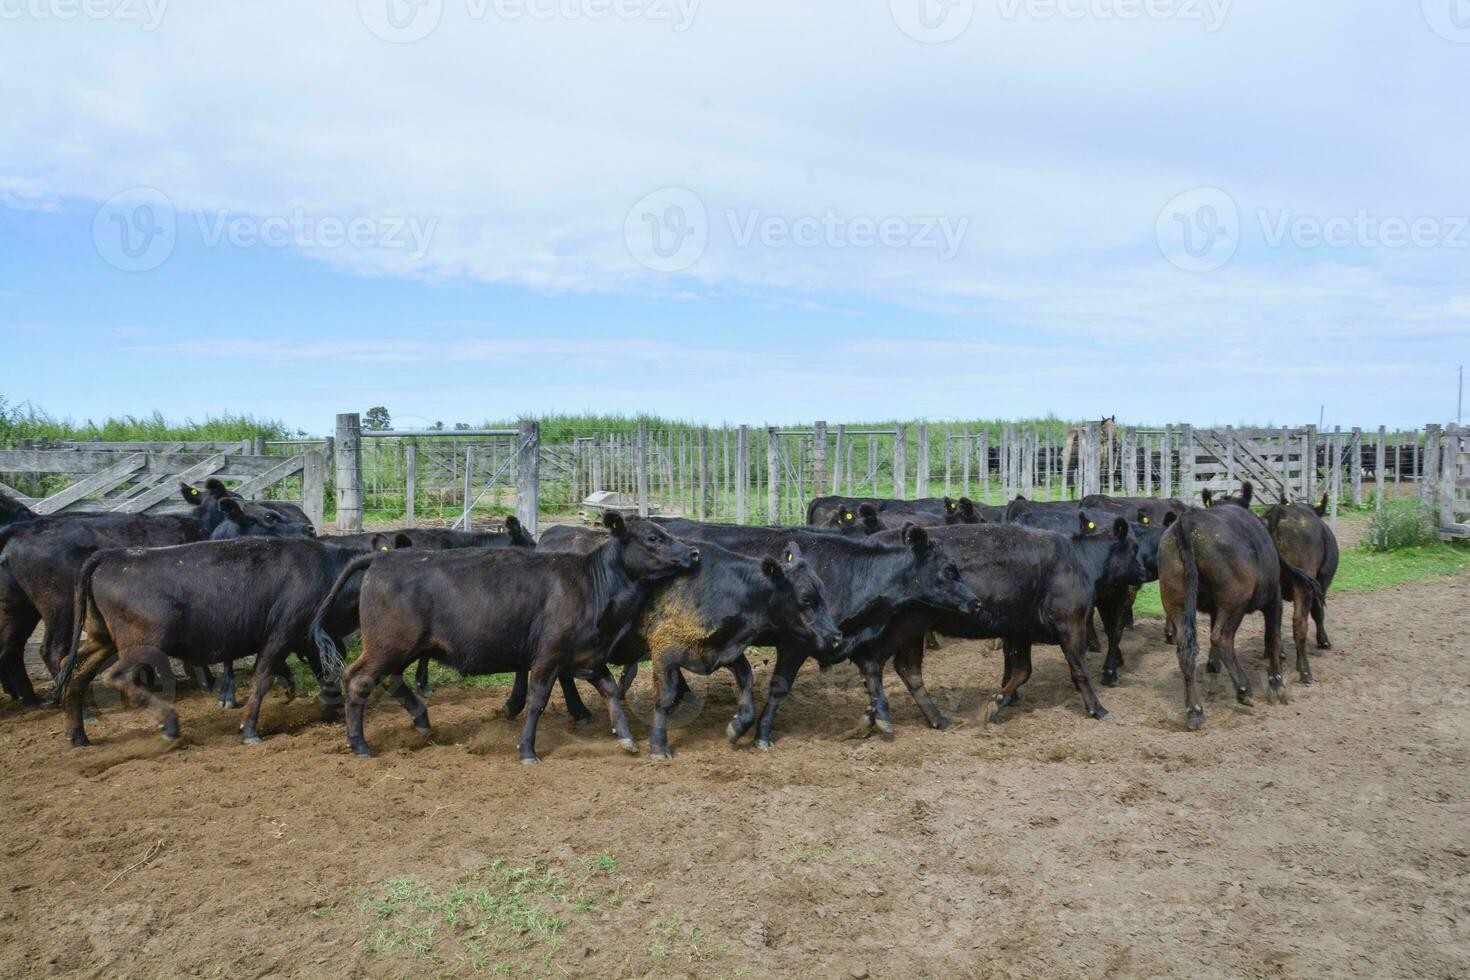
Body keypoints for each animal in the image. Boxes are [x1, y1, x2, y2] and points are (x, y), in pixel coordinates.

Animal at [56, 540, 382, 746]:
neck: (327, 570)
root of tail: (113, 556)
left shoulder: (308, 639)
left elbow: (321, 673)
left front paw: (329, 707)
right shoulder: (281, 636)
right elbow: (262, 679)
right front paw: (249, 730)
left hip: (101, 640)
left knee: (74, 674)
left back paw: (78, 736)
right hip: (142, 645)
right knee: (116, 676)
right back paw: (168, 722)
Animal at [323, 514, 699, 764]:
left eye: (666, 532)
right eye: (652, 538)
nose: (694, 553)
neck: (590, 584)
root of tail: (381, 558)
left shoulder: (586, 656)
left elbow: (608, 689)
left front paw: (625, 736)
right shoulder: (548, 656)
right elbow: (537, 700)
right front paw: (527, 749)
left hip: (397, 648)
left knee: (382, 678)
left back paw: (419, 720)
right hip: (389, 645)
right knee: (359, 680)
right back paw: (359, 744)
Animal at [637, 525, 970, 746]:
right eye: (950, 569)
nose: (975, 601)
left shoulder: (846, 639)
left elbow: (872, 674)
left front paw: (879, 719)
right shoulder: (795, 642)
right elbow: (780, 687)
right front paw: (762, 734)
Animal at [1152, 505, 1328, 728]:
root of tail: (1187, 521)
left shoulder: (1214, 610)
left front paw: (1212, 666)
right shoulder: (1274, 599)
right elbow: (1273, 637)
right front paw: (1276, 683)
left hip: (1177, 601)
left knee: (1186, 648)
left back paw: (1195, 711)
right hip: (1234, 602)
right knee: (1222, 638)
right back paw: (1243, 689)